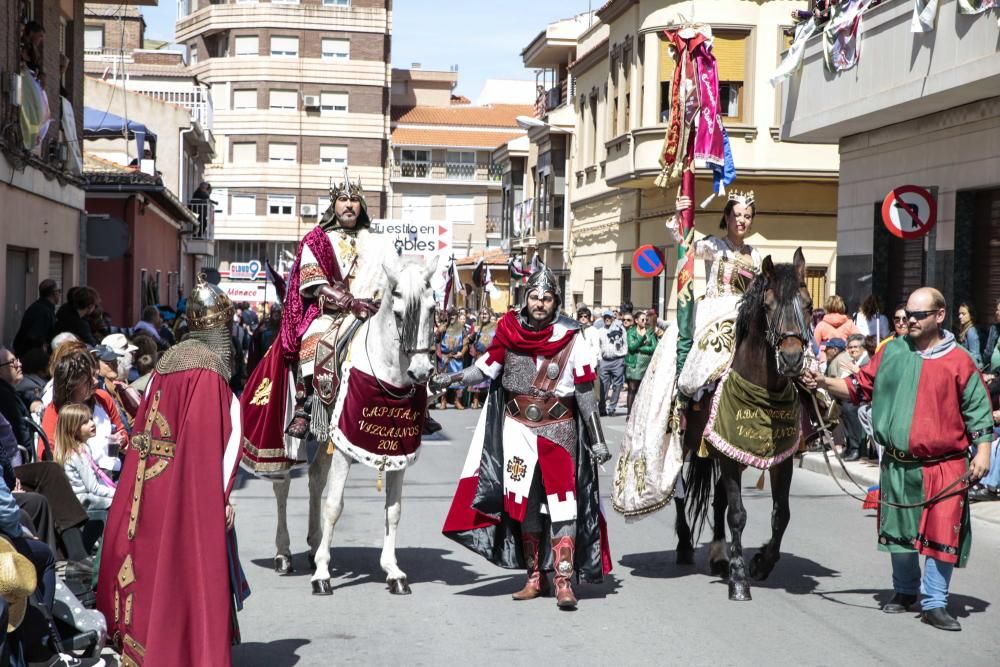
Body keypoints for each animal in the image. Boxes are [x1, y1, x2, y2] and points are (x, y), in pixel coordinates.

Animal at [310, 258, 440, 596]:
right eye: (398, 313)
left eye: (433, 309)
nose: (421, 372)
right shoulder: (344, 446)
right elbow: (334, 506)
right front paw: (322, 573)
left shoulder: (398, 456)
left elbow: (393, 511)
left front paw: (393, 571)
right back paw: (286, 555)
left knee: (315, 476)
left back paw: (312, 545)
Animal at [672, 248, 812, 604]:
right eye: (768, 305)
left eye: (807, 304)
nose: (792, 359)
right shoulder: (728, 454)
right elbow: (738, 514)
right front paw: (739, 580)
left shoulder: (779, 459)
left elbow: (781, 514)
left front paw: (761, 562)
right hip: (684, 445)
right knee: (680, 492)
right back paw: (685, 544)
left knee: (718, 499)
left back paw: (720, 556)